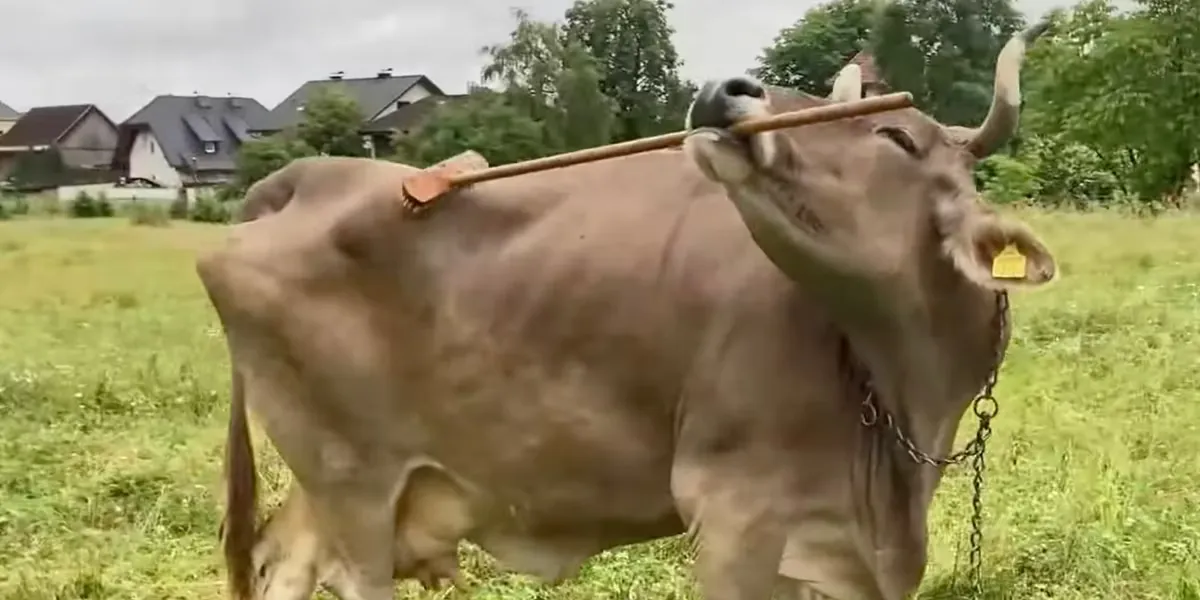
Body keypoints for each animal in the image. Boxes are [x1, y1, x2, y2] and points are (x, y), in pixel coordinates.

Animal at [197, 19, 1056, 600]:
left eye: (896, 137)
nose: (725, 90)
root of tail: (307, 175)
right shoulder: (736, 513)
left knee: (282, 561)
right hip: (354, 485)